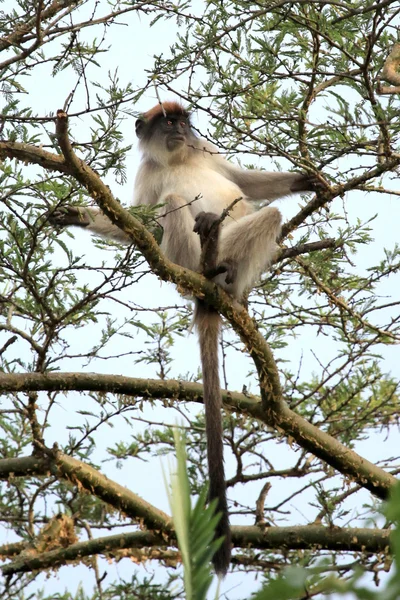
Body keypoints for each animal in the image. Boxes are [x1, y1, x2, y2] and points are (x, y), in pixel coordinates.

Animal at [50, 103, 314, 576]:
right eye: (166, 122)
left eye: (182, 121)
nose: (179, 129)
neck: (177, 158)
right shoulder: (147, 175)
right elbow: (136, 223)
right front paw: (78, 214)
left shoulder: (204, 150)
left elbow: (244, 180)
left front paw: (305, 180)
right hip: (181, 258)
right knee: (176, 205)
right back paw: (205, 273)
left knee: (265, 215)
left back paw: (229, 281)